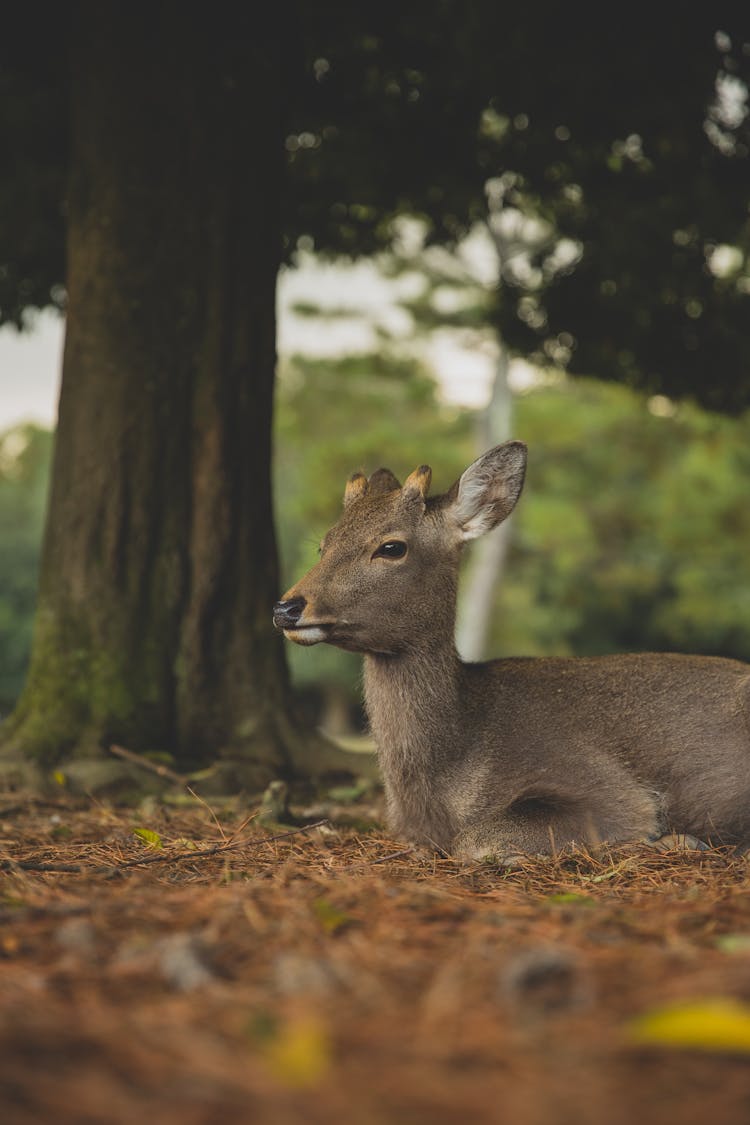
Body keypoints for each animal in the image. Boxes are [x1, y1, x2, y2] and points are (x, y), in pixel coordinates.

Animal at [273, 441, 750, 859]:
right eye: (324, 544)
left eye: (391, 547)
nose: (286, 607)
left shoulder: (609, 788)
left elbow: (475, 840)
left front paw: (668, 840)